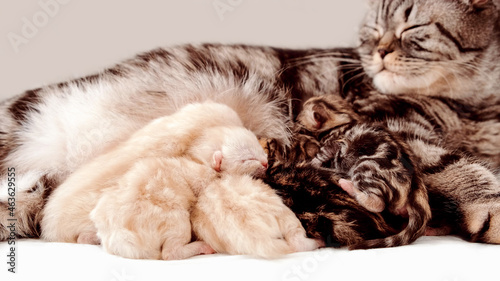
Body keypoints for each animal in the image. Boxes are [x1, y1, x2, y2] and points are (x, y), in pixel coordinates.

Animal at [0, 0, 500, 241]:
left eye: (412, 29)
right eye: (371, 31)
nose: (378, 51)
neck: (480, 104)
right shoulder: (391, 127)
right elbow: (456, 166)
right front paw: (488, 207)